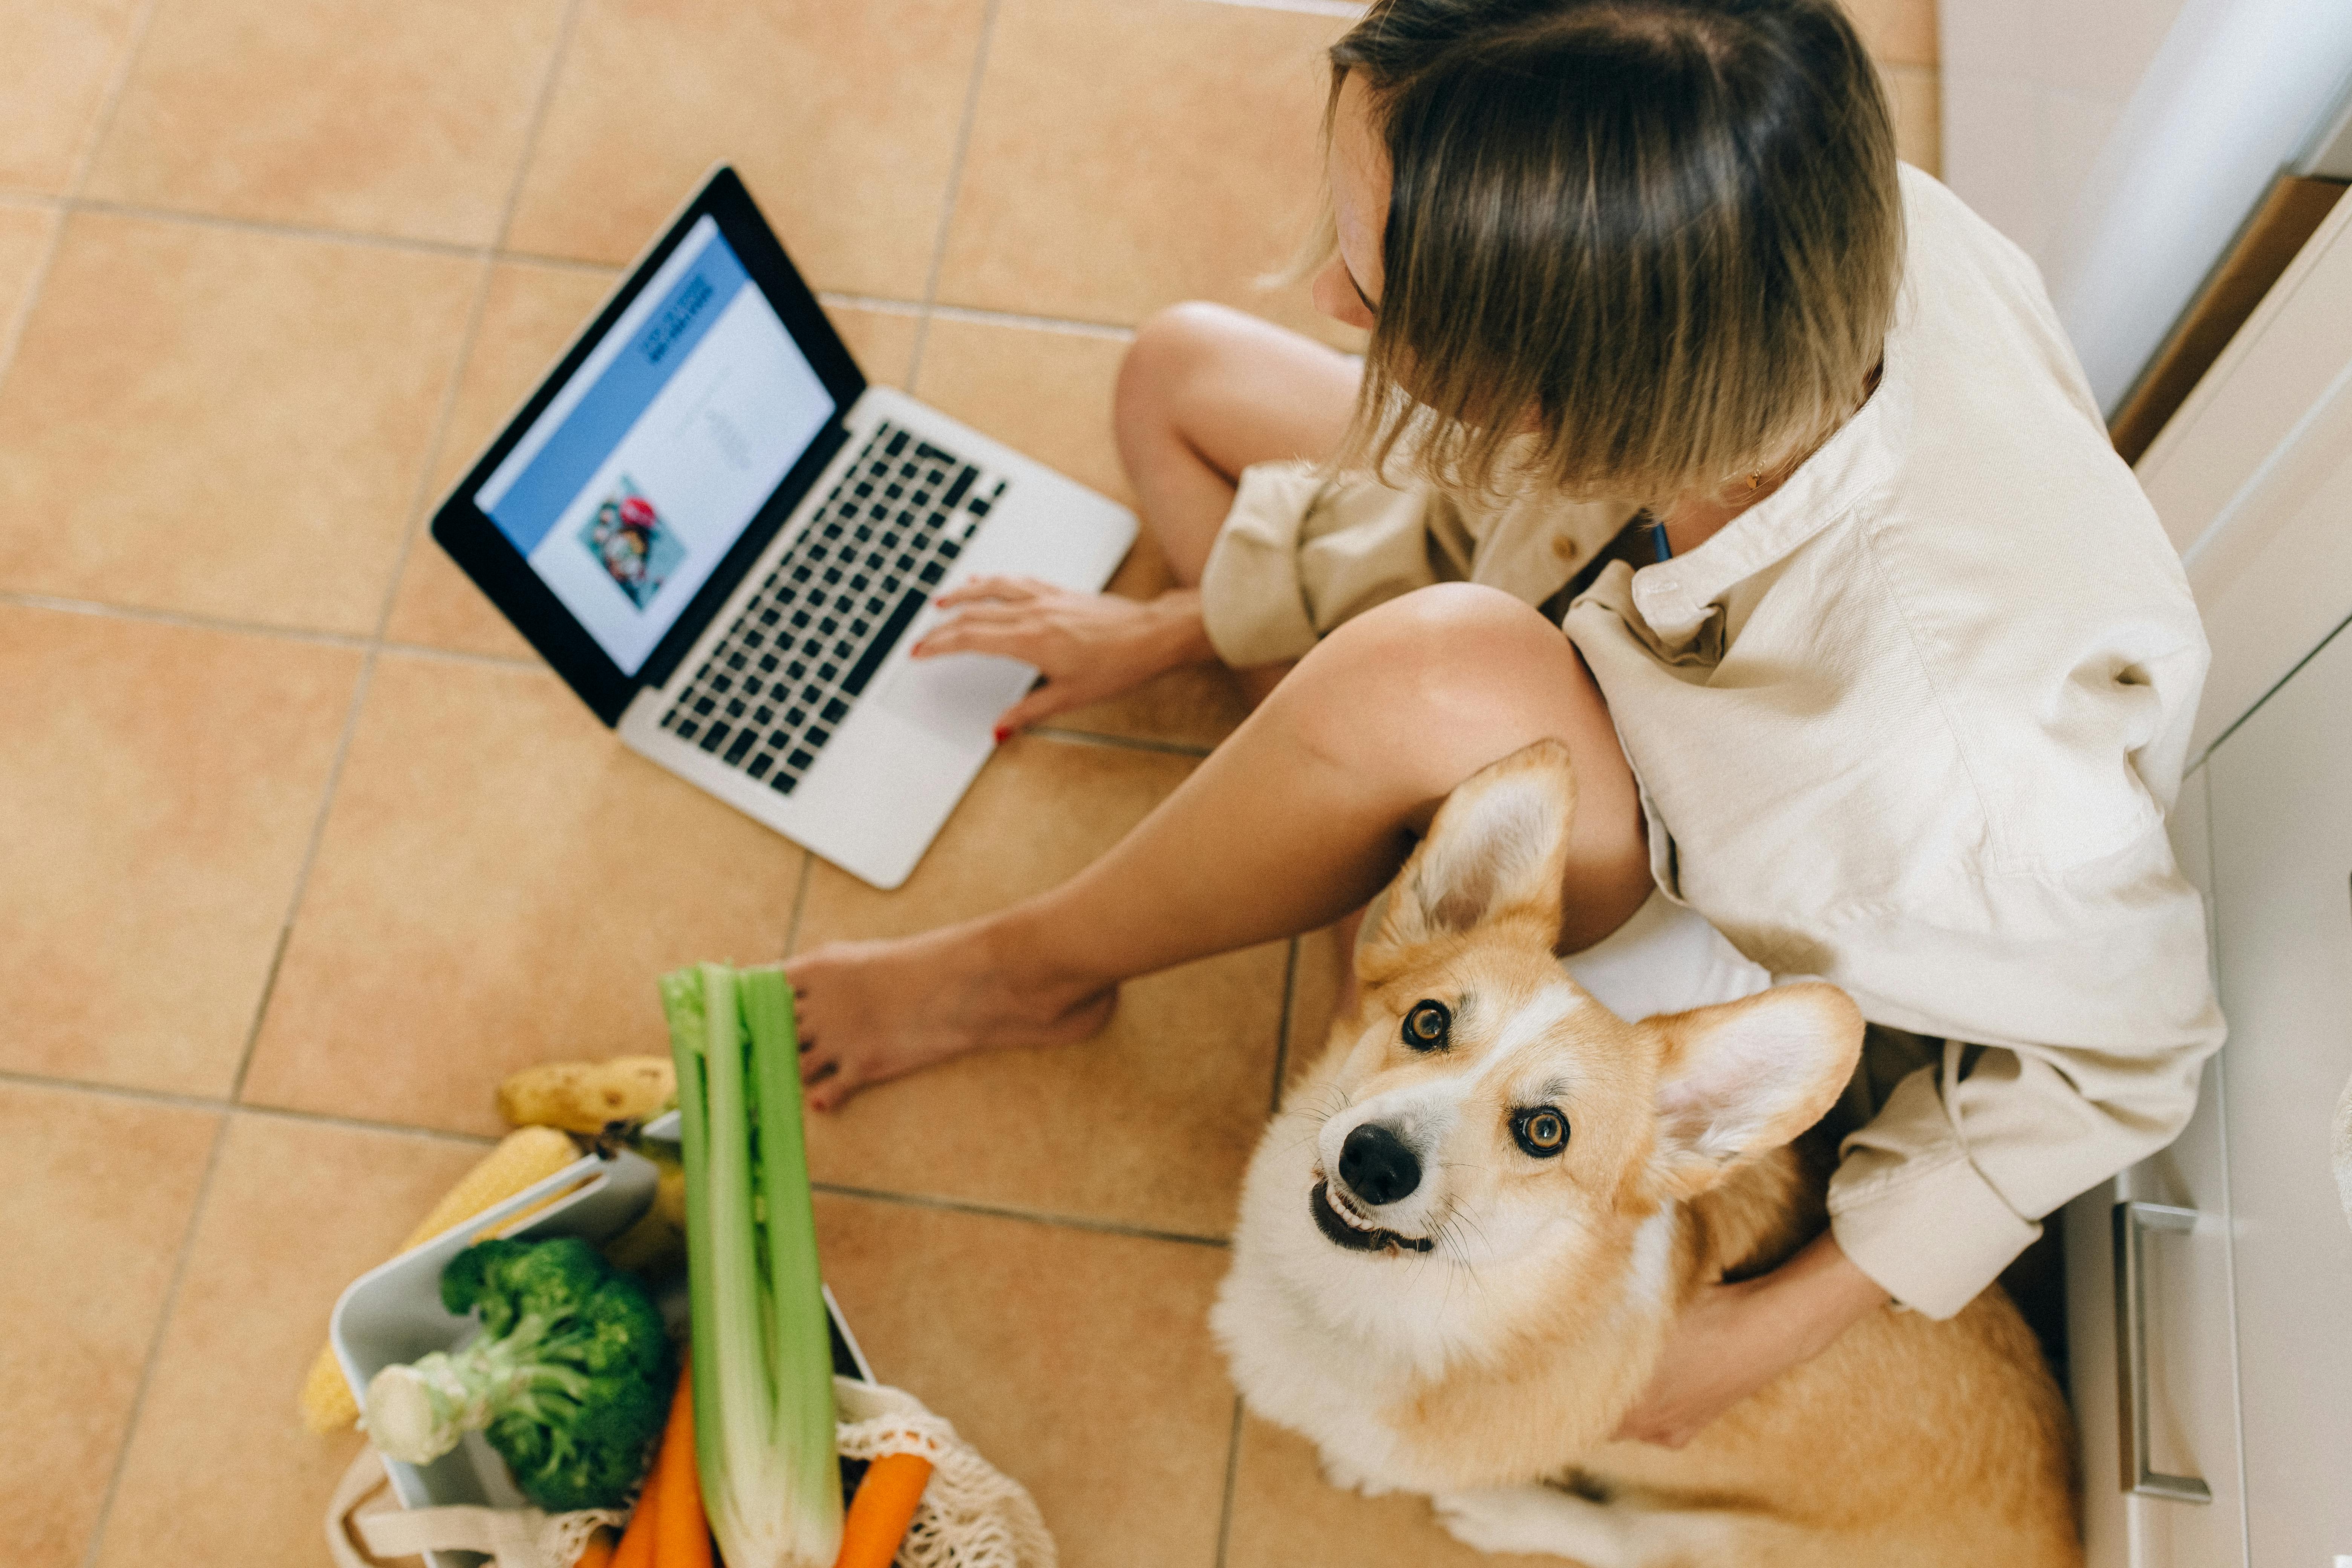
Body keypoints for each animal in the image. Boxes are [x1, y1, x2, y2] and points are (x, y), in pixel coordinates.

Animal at [1213, 743, 2079, 1561]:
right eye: (1427, 1022)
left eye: (1546, 1131)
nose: (1374, 1160)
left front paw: (1373, 1470)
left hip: (1732, 1543)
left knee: (1633, 1541)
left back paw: (1504, 1512)